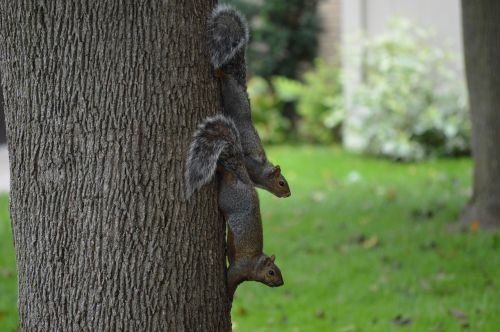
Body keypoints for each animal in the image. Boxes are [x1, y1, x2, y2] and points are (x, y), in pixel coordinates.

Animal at [185, 115, 286, 300]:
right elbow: (230, 280)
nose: (281, 283)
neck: (255, 263)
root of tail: (244, 179)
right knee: (226, 174)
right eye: (271, 272)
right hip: (228, 199)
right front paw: (228, 298)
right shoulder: (239, 269)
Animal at [208, 5, 292, 198]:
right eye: (281, 182)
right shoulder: (249, 164)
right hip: (231, 93)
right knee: (226, 78)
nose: (288, 194)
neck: (262, 174)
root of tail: (240, 86)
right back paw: (220, 72)